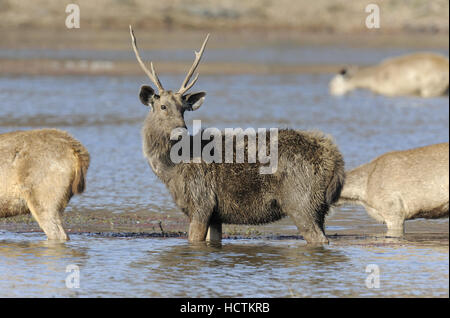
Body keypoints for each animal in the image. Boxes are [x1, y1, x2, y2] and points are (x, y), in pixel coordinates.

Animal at [128, 26, 346, 243]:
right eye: (163, 106)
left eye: (183, 108)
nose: (180, 129)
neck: (171, 171)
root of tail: (335, 159)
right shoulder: (215, 215)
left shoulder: (201, 202)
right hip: (320, 207)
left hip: (301, 201)